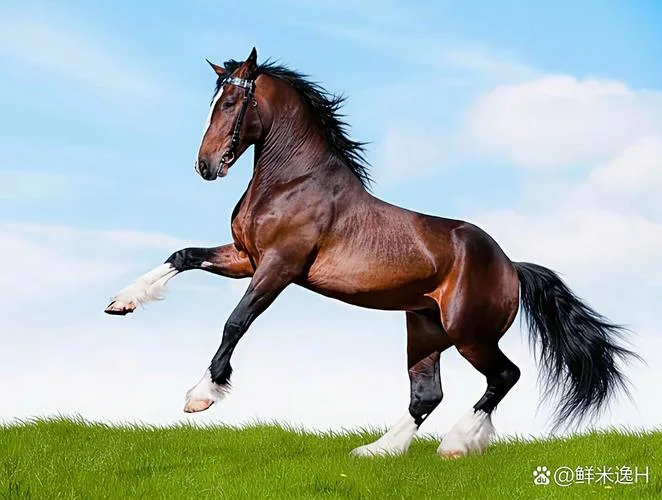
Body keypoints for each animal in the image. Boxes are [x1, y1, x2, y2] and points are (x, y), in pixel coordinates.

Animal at [105, 47, 638, 458]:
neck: (292, 181)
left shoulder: (278, 266)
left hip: (470, 334)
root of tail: (511, 266)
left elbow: (236, 322)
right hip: (424, 330)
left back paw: (457, 444)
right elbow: (182, 255)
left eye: (232, 101)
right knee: (426, 395)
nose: (206, 165)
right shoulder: (245, 258)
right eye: (213, 100)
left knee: (504, 376)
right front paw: (121, 302)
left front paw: (201, 395)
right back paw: (376, 451)